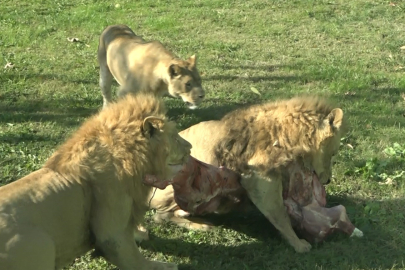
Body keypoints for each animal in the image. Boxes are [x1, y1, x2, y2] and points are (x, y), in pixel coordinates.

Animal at [0, 93, 191, 270]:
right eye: (175, 137)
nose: (190, 146)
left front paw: (140, 233)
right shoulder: (112, 228)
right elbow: (134, 259)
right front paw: (165, 266)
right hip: (41, 244)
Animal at [148, 97, 350, 253]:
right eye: (333, 153)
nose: (328, 180)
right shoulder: (259, 181)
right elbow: (281, 216)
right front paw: (299, 244)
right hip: (176, 185)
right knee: (161, 217)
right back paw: (201, 224)